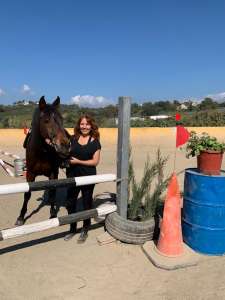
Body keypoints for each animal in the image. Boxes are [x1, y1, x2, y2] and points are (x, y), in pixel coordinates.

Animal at [14, 96, 71, 225]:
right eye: (46, 120)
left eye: (61, 120)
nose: (65, 145)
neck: (42, 152)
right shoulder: (30, 174)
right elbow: (27, 194)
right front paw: (21, 217)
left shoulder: (53, 173)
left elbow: (53, 192)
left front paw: (53, 214)